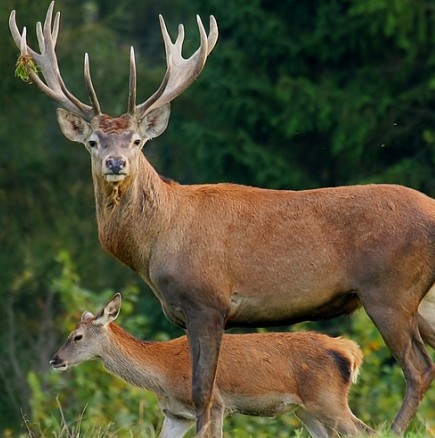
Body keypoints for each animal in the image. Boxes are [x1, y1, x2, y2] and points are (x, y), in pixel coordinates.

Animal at [49, 294, 372, 438]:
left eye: (77, 336)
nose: (55, 360)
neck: (162, 373)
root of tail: (351, 351)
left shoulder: (215, 403)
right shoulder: (175, 414)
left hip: (326, 398)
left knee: (365, 432)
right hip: (307, 410)